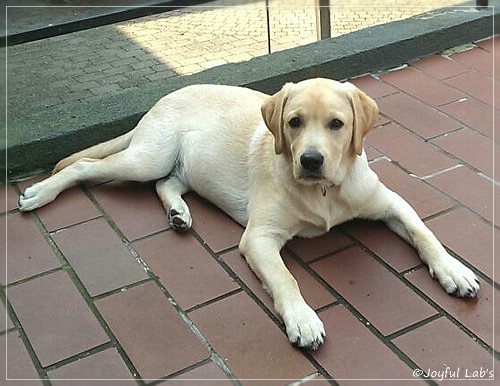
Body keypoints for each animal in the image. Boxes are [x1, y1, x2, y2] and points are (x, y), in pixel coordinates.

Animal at [20, 78, 480, 350]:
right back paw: (40, 192)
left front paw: (453, 270)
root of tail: (160, 100)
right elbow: (285, 277)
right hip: (146, 158)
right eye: (294, 123)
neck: (325, 193)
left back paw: (179, 214)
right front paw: (302, 319)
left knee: (167, 184)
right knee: (86, 166)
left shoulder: (390, 202)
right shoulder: (259, 237)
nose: (311, 160)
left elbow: (425, 233)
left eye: (336, 124)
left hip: (185, 168)